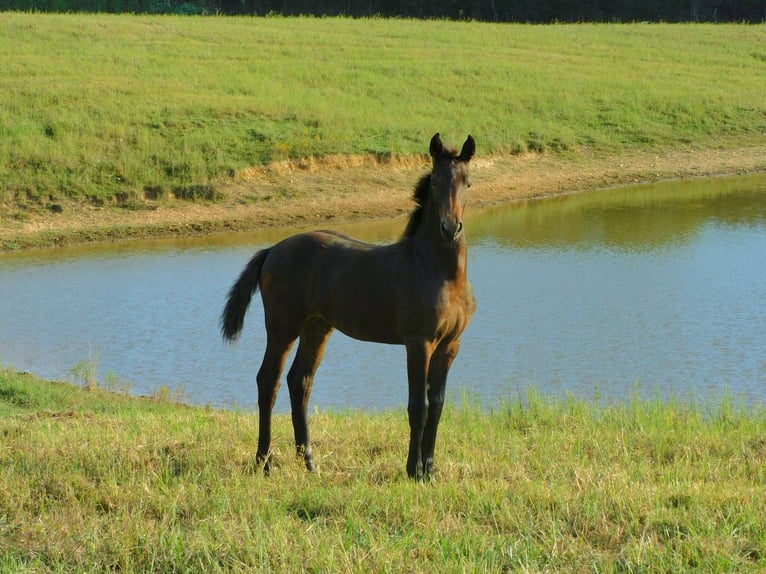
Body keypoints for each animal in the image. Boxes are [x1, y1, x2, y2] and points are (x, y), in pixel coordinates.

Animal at [221, 133, 476, 480]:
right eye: (435, 182)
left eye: (467, 182)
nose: (450, 228)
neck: (438, 272)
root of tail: (273, 249)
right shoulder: (418, 342)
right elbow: (418, 406)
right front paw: (414, 471)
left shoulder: (451, 345)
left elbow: (437, 405)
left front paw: (430, 471)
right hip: (282, 327)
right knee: (268, 382)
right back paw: (265, 461)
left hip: (317, 328)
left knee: (299, 381)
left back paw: (310, 463)